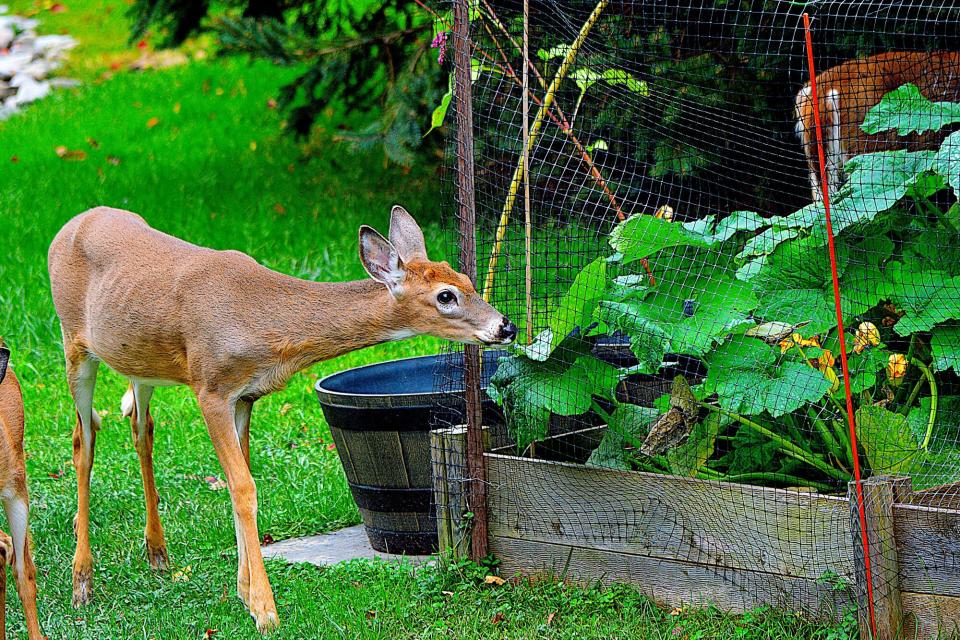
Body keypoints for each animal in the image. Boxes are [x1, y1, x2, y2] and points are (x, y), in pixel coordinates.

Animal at [48, 205, 516, 632]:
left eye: (468, 281)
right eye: (445, 296)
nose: (506, 327)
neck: (266, 325)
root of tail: (71, 225)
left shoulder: (245, 396)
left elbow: (239, 482)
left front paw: (243, 590)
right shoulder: (210, 386)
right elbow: (243, 487)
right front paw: (264, 609)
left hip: (139, 360)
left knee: (140, 428)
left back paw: (158, 556)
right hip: (74, 344)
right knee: (83, 440)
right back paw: (82, 582)